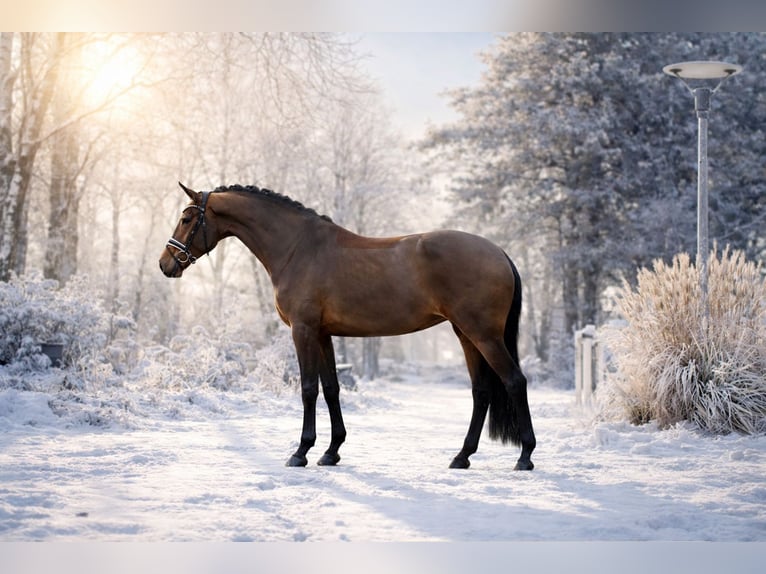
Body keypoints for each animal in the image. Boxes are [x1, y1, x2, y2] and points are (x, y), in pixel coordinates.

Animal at [159, 183, 536, 470]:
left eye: (187, 218)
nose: (165, 264)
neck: (297, 248)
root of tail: (499, 252)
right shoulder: (323, 334)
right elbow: (331, 389)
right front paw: (331, 451)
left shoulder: (303, 330)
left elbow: (308, 388)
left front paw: (301, 452)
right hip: (466, 335)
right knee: (481, 391)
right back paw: (462, 456)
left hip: (484, 335)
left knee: (515, 381)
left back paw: (525, 457)